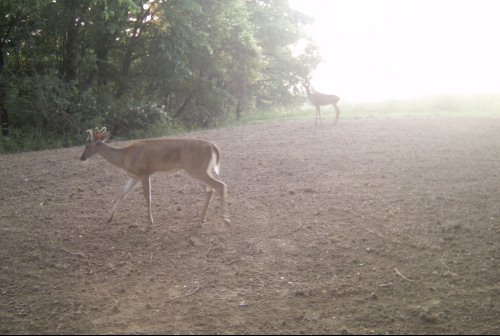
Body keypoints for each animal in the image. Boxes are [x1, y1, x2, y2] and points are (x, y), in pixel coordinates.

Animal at [79, 127, 230, 227]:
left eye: (86, 145)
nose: (81, 158)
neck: (124, 157)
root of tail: (212, 146)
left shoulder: (144, 172)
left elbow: (148, 197)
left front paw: (150, 221)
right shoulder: (135, 177)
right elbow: (122, 194)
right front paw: (109, 217)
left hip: (197, 169)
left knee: (220, 185)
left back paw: (225, 219)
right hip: (196, 170)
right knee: (210, 190)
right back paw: (201, 219)